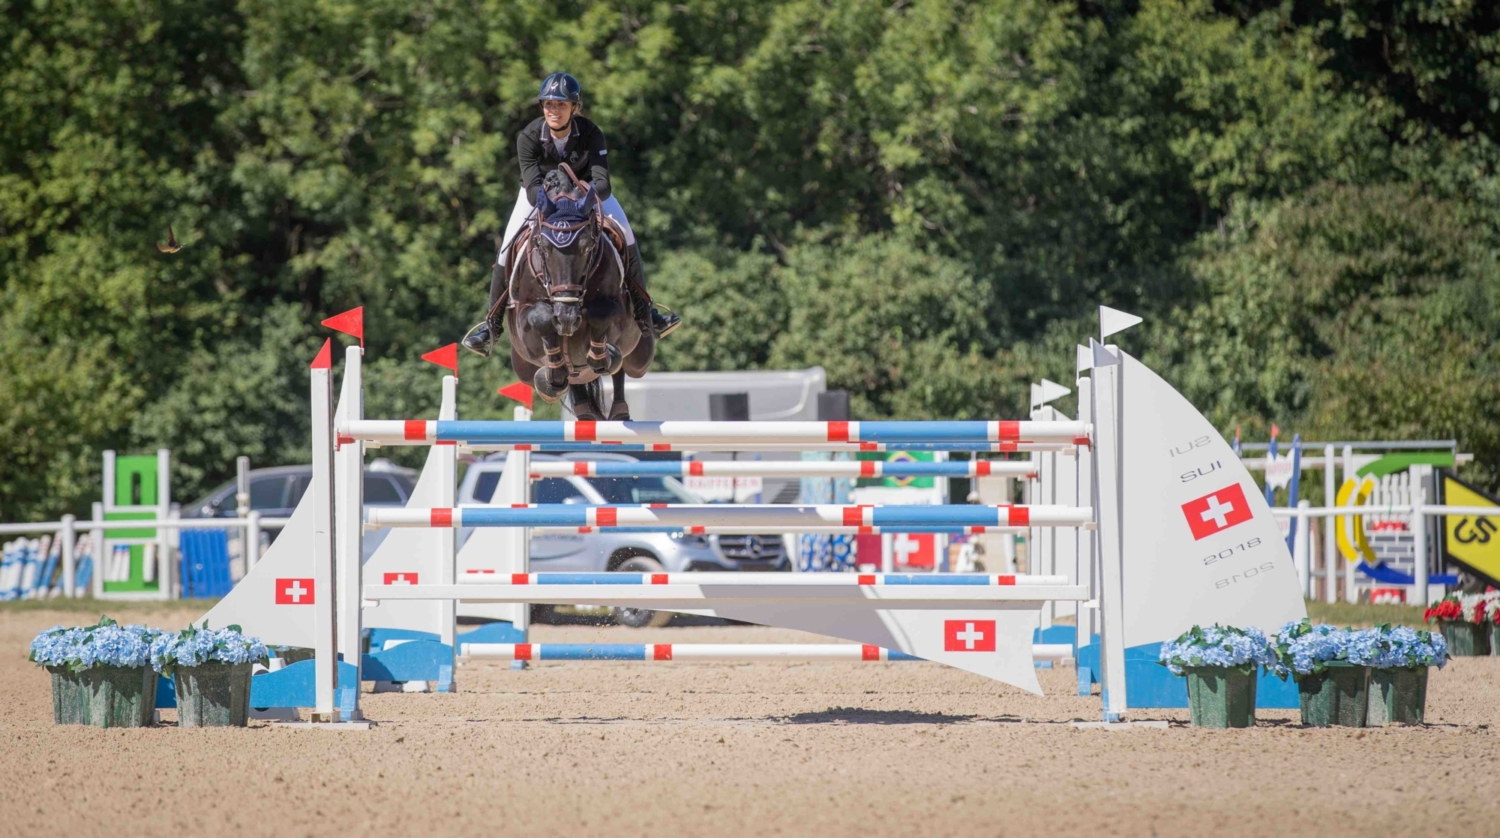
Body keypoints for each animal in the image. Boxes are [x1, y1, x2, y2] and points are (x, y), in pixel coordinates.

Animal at [504, 168, 651, 419]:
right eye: (543, 247)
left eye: (588, 247)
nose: (567, 318)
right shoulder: (524, 328)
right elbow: (540, 317)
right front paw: (553, 375)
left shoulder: (618, 313)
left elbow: (601, 313)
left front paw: (602, 356)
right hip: (522, 366)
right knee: (571, 378)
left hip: (640, 357)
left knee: (622, 367)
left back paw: (618, 410)